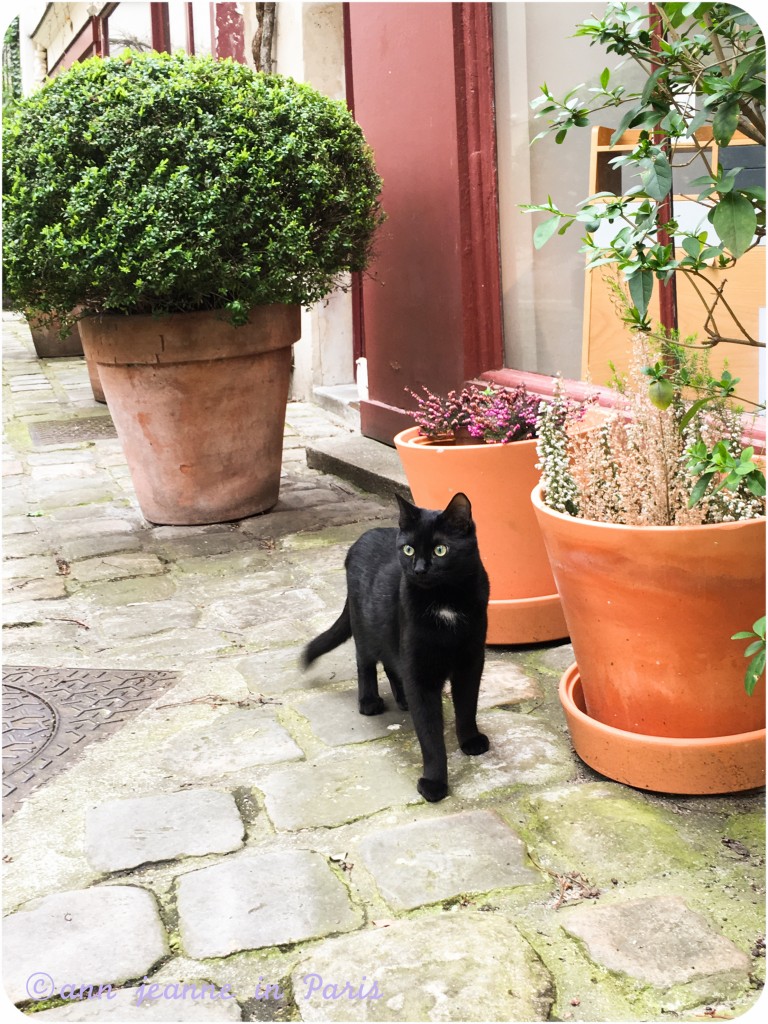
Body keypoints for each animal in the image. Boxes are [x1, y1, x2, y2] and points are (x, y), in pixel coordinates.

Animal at [303, 491, 489, 802]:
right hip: (365, 626)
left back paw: (402, 699)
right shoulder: (420, 670)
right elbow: (429, 733)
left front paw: (470, 740)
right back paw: (369, 701)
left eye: (441, 550)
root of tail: (360, 539)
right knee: (365, 661)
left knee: (391, 664)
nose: (419, 569)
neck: (445, 602)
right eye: (409, 550)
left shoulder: (470, 661)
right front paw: (434, 783)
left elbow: (467, 706)